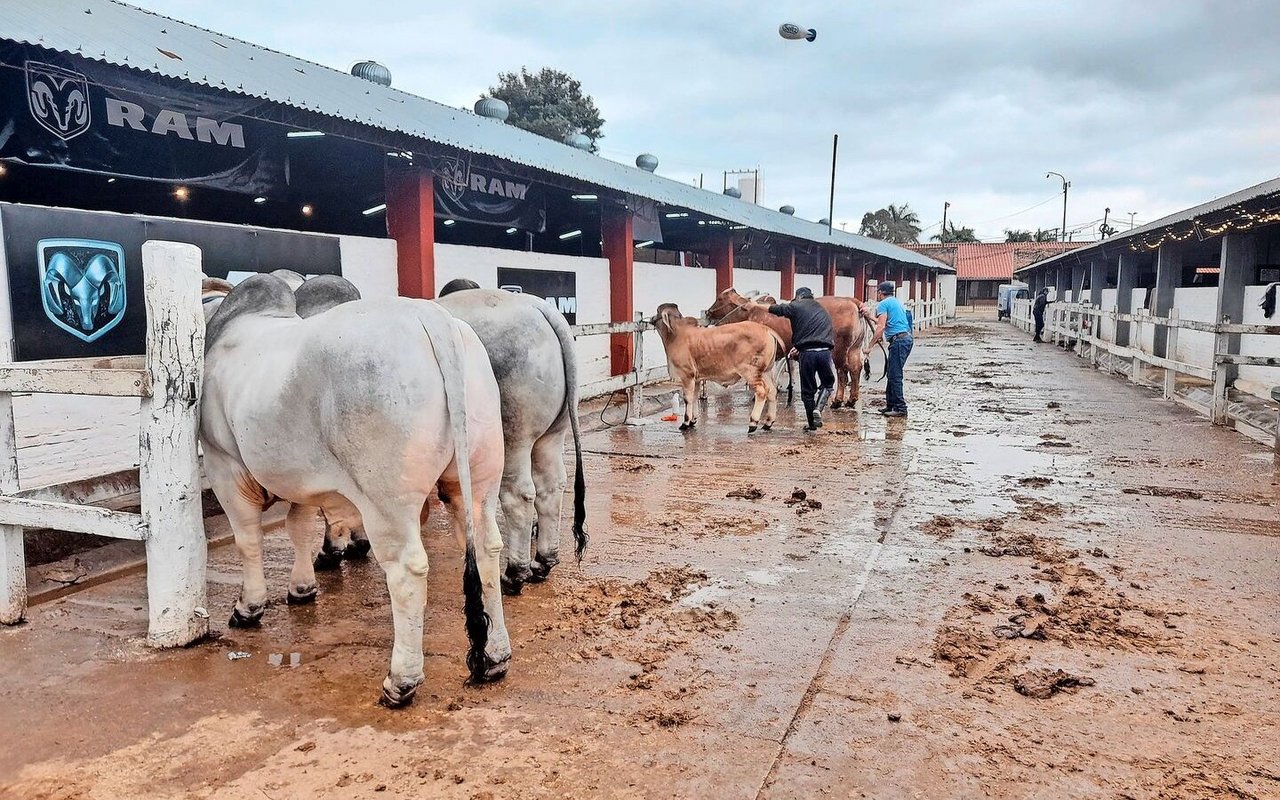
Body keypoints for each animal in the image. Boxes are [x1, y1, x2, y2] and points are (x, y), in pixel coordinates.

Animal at [202, 276, 506, 706]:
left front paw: (249, 607)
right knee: (486, 549)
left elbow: (248, 540)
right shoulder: (302, 481)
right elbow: (298, 529)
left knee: (407, 570)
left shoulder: (224, 466)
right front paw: (301, 587)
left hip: (387, 501)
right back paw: (494, 659)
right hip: (477, 482)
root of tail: (432, 317)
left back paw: (401, 681)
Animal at [655, 302, 783, 432]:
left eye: (657, 311)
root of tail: (766, 329)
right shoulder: (696, 379)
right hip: (765, 371)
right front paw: (692, 421)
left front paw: (685, 423)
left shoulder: (686, 375)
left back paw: (753, 423)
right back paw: (768, 423)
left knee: (762, 392)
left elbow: (687, 398)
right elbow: (695, 397)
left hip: (751, 372)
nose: (651, 319)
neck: (675, 335)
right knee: (772, 390)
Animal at [706, 288, 875, 404]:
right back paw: (852, 399)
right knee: (855, 368)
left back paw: (838, 400)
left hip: (840, 349)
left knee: (842, 371)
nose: (707, 312)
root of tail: (853, 301)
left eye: (719, 298)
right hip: (854, 348)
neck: (750, 314)